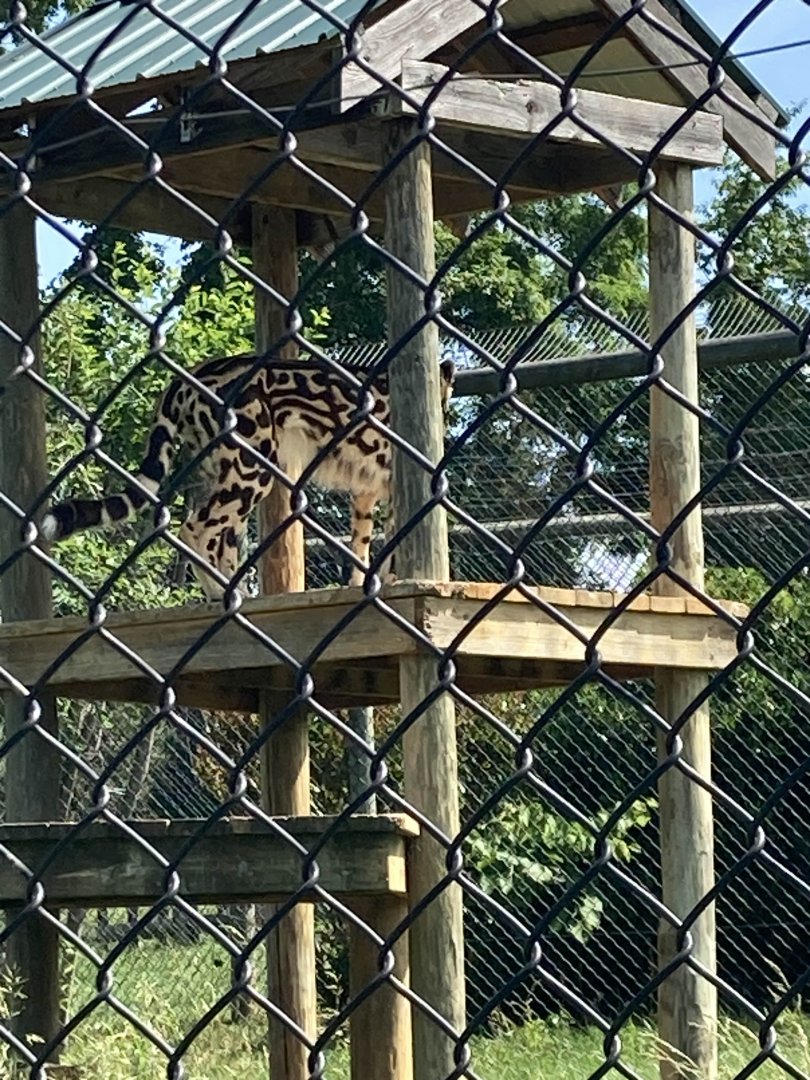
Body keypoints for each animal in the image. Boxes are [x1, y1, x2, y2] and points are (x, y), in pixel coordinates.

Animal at [41, 355, 456, 599]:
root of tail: (189, 375)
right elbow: (391, 543)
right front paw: (390, 580)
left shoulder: (366, 493)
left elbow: (363, 545)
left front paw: (361, 585)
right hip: (252, 468)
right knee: (193, 529)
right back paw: (222, 594)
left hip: (227, 474)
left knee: (221, 541)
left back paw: (235, 592)